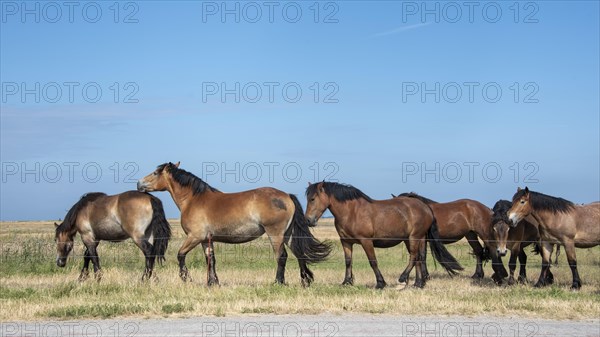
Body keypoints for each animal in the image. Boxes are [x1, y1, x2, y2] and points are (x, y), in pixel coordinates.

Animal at [304, 181, 464, 288]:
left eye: (313, 199)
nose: (308, 220)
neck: (351, 212)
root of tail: (425, 207)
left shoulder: (366, 241)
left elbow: (373, 261)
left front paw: (380, 283)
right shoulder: (346, 242)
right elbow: (348, 262)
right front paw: (346, 282)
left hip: (414, 237)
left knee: (414, 257)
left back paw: (403, 278)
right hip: (414, 239)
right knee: (418, 258)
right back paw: (418, 283)